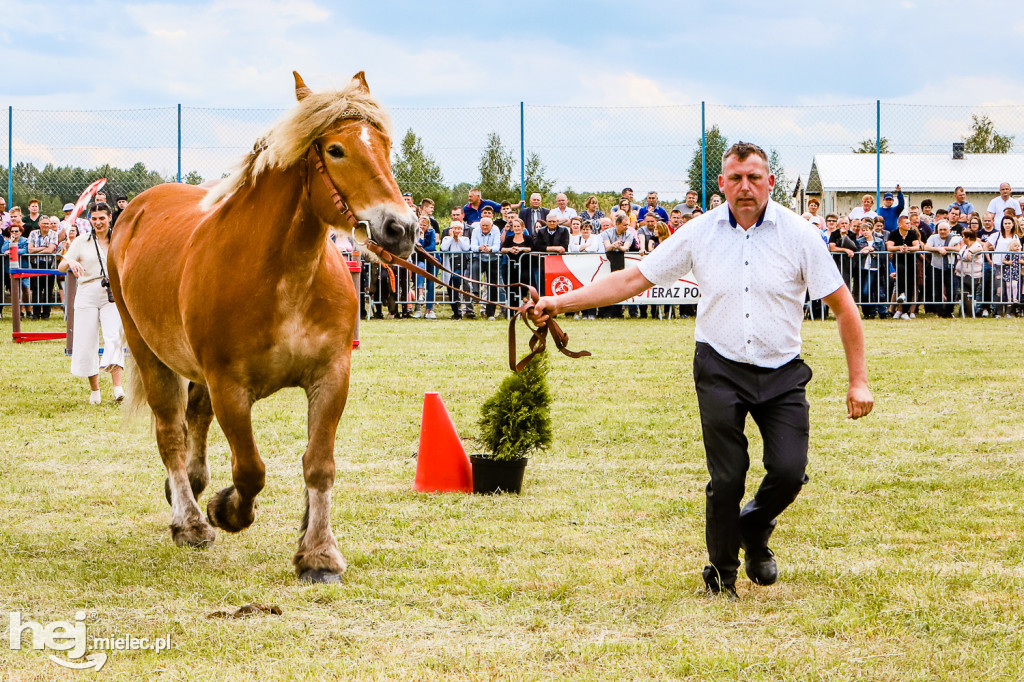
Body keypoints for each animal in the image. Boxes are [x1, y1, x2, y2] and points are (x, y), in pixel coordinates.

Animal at [109, 70, 415, 577]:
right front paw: (226, 509)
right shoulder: (230, 387)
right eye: (335, 149)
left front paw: (318, 554)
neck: (284, 276)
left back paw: (192, 484)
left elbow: (319, 464)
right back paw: (190, 520)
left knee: (195, 419)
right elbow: (250, 469)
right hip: (149, 353)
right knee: (171, 432)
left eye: (386, 146)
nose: (401, 229)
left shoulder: (331, 377)